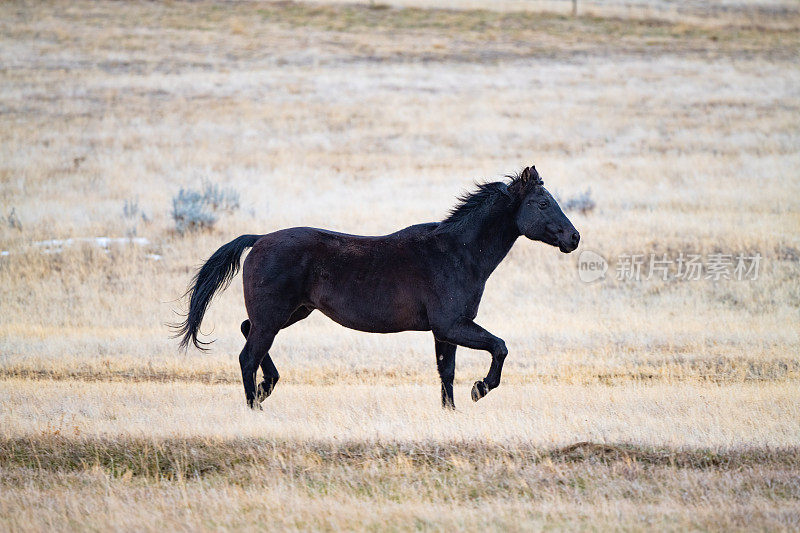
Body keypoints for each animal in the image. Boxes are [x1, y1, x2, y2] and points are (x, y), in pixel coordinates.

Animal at [175, 165, 580, 408]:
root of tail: (258, 240)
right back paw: (255, 405)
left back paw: (266, 387)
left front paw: (451, 411)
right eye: (542, 203)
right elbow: (499, 347)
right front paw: (480, 390)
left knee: (248, 332)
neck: (456, 253)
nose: (574, 238)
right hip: (276, 316)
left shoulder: (444, 330)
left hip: (292, 313)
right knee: (247, 356)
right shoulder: (453, 324)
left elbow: (446, 372)